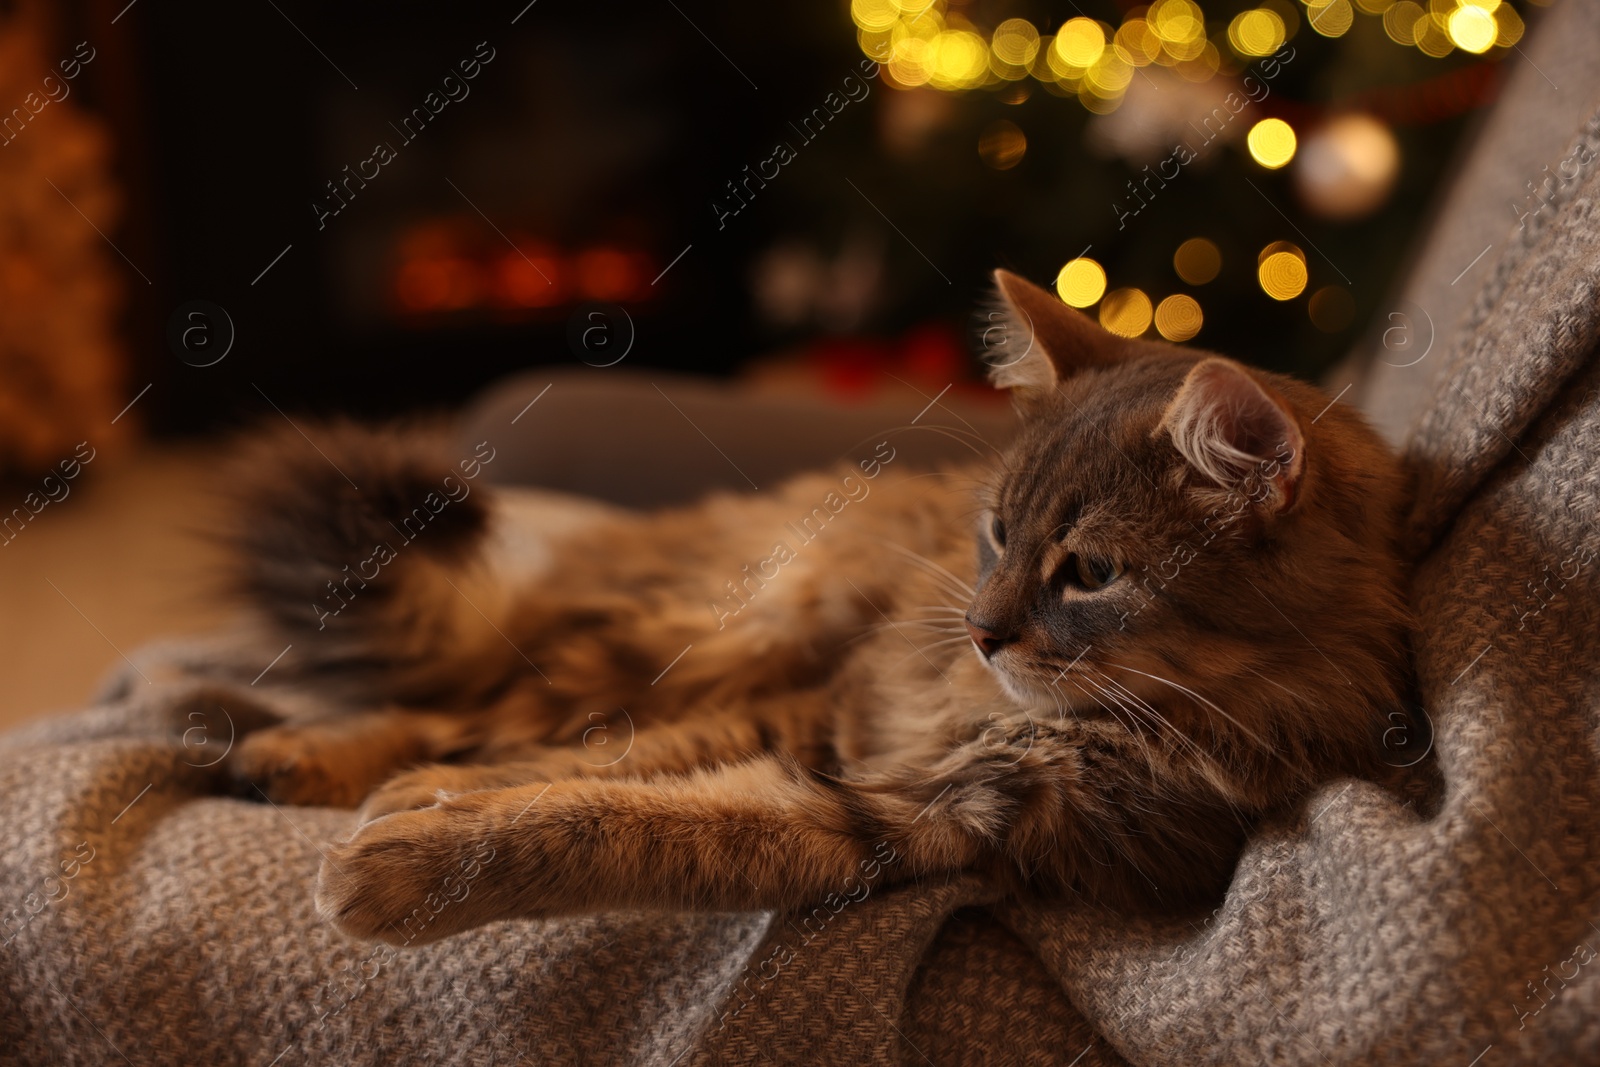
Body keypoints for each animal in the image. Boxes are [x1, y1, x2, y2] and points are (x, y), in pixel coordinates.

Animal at [216, 271, 1414, 947]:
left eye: (1090, 572)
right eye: (998, 532)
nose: (979, 630)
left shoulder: (910, 814)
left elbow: (626, 815)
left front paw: (414, 851)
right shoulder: (829, 708)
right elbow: (600, 764)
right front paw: (426, 800)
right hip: (740, 626)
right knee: (493, 694)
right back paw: (302, 756)